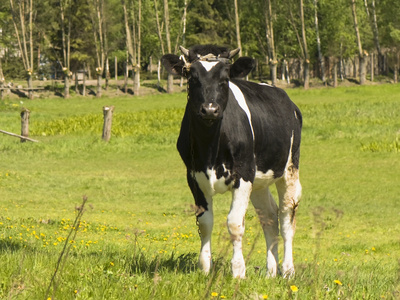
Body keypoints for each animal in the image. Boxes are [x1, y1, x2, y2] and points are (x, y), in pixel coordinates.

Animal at [161, 44, 302, 278]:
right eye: (191, 77)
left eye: (225, 79)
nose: (209, 109)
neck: (210, 147)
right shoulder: (194, 177)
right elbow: (205, 223)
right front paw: (205, 268)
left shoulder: (243, 175)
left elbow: (235, 223)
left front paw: (238, 271)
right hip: (259, 181)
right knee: (269, 217)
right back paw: (271, 271)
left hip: (289, 168)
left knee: (286, 217)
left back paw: (288, 270)